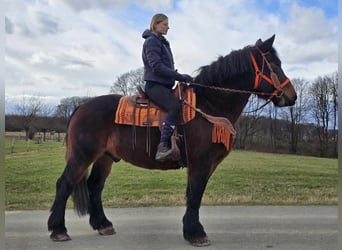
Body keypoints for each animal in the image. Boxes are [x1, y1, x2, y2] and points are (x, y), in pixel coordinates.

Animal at [47, 34, 296, 246]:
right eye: (274, 65)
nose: (292, 96)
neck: (209, 105)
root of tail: (81, 106)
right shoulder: (200, 162)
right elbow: (195, 195)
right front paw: (195, 233)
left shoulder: (206, 164)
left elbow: (194, 195)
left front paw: (191, 230)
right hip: (82, 156)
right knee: (64, 184)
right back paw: (58, 229)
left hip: (105, 157)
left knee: (95, 186)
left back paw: (103, 224)